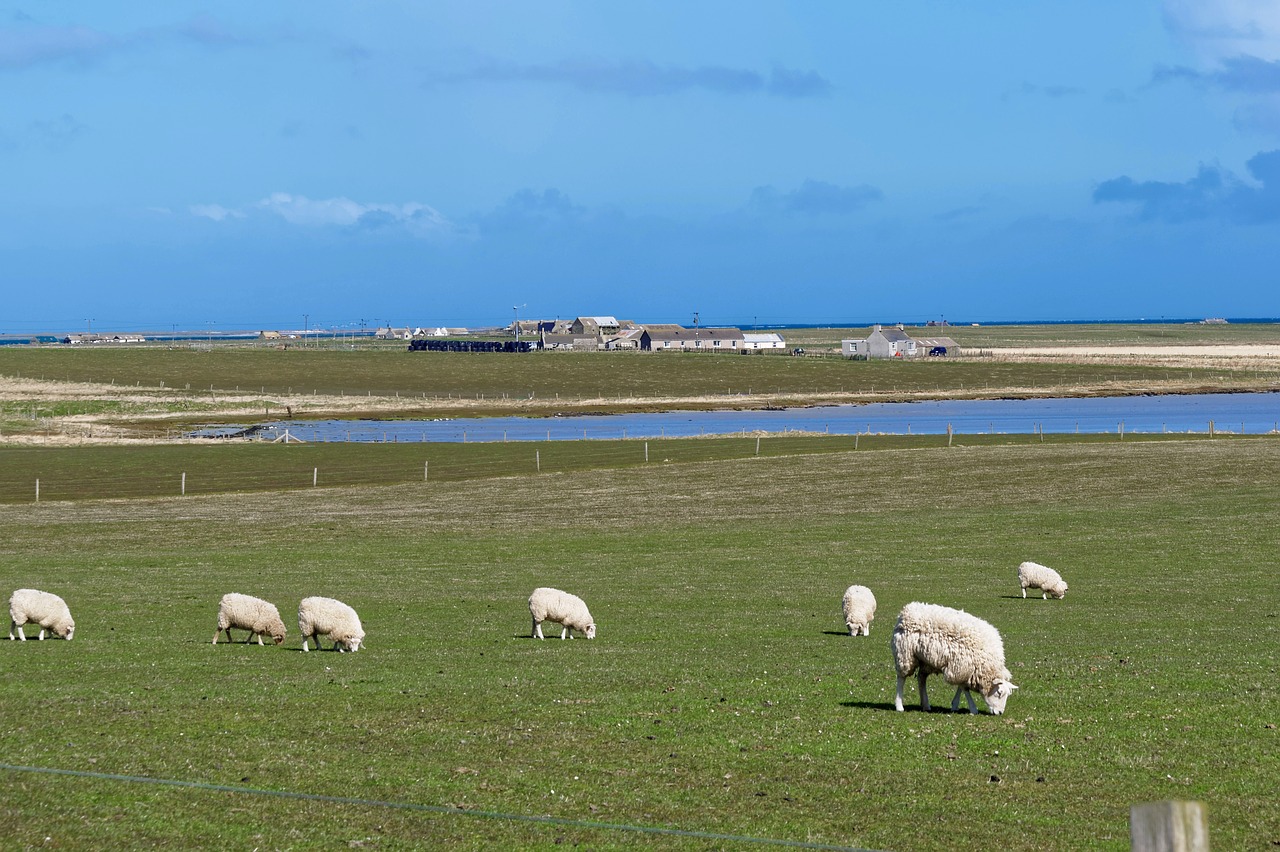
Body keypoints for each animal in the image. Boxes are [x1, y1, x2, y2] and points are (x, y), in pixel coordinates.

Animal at [890, 601, 1018, 711]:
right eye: (999, 693)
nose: (1000, 712)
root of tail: (906, 610)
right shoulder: (961, 666)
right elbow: (964, 687)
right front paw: (973, 708)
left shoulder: (964, 668)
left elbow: (961, 686)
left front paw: (955, 705)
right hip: (905, 654)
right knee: (901, 678)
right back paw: (899, 706)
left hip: (926, 661)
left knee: (921, 678)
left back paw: (925, 705)